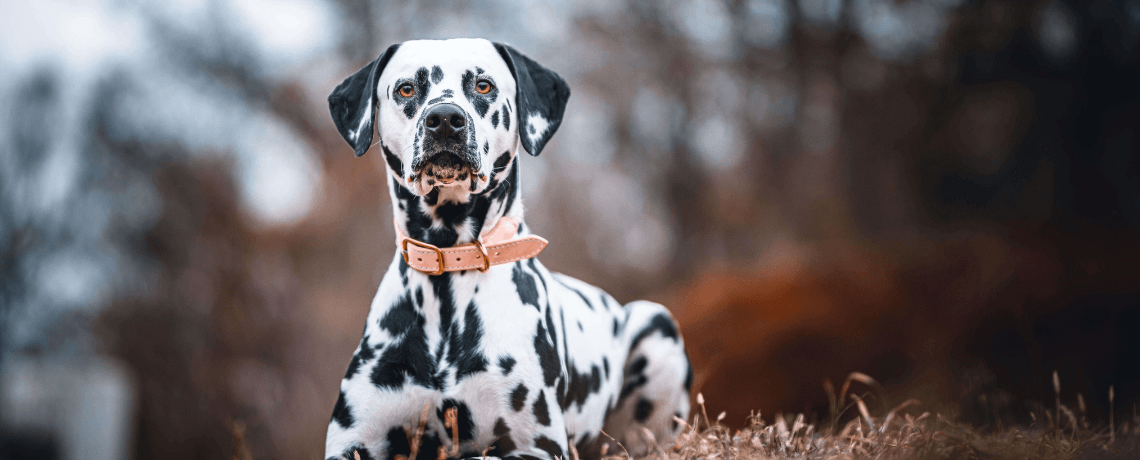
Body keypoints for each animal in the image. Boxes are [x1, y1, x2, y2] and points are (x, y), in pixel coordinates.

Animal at [326, 39, 688, 459]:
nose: (445, 118)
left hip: (656, 323)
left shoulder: (538, 445)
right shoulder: (352, 439)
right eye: (406, 89)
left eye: (483, 85)